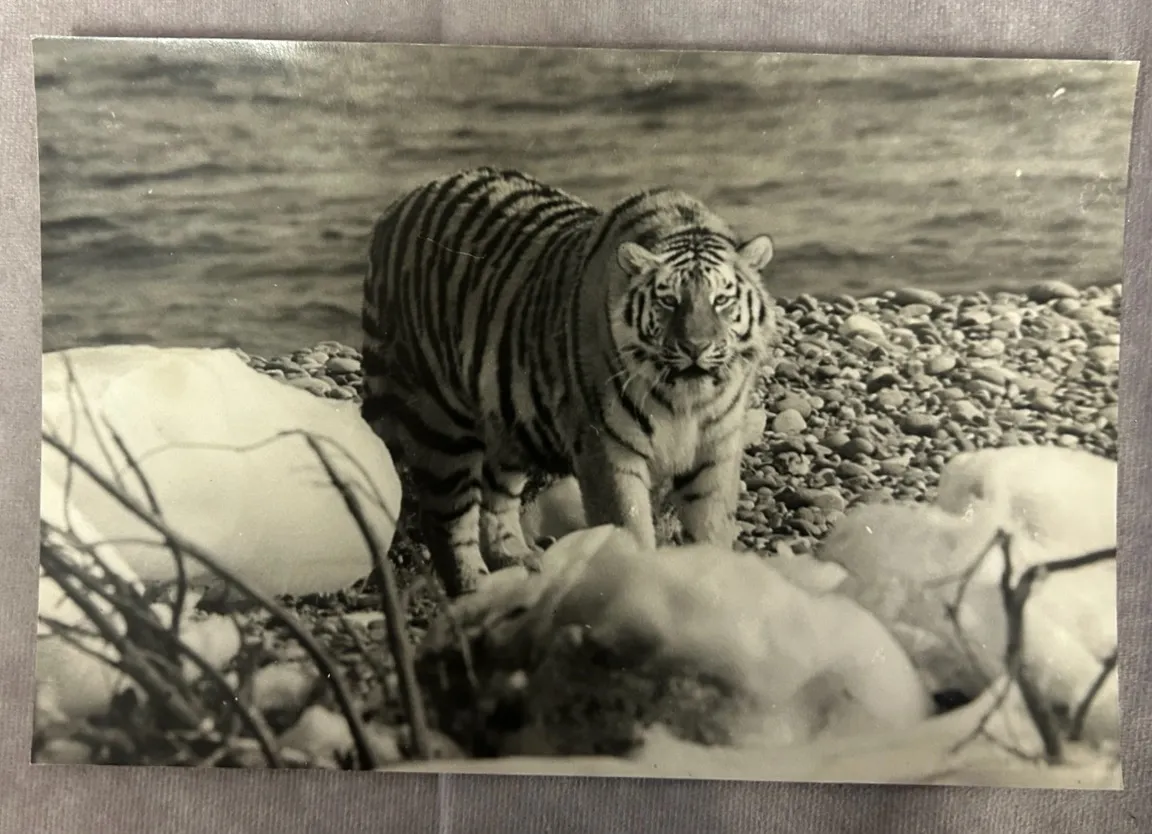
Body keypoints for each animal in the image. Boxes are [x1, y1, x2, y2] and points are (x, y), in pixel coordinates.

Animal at [361, 167, 777, 597]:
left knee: (495, 498)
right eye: (669, 301)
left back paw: (520, 561)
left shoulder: (715, 448)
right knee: (446, 521)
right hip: (440, 423)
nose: (696, 346)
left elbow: (711, 526)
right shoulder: (607, 448)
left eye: (721, 301)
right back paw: (478, 590)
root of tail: (397, 206)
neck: (686, 401)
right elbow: (627, 525)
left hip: (506, 424)